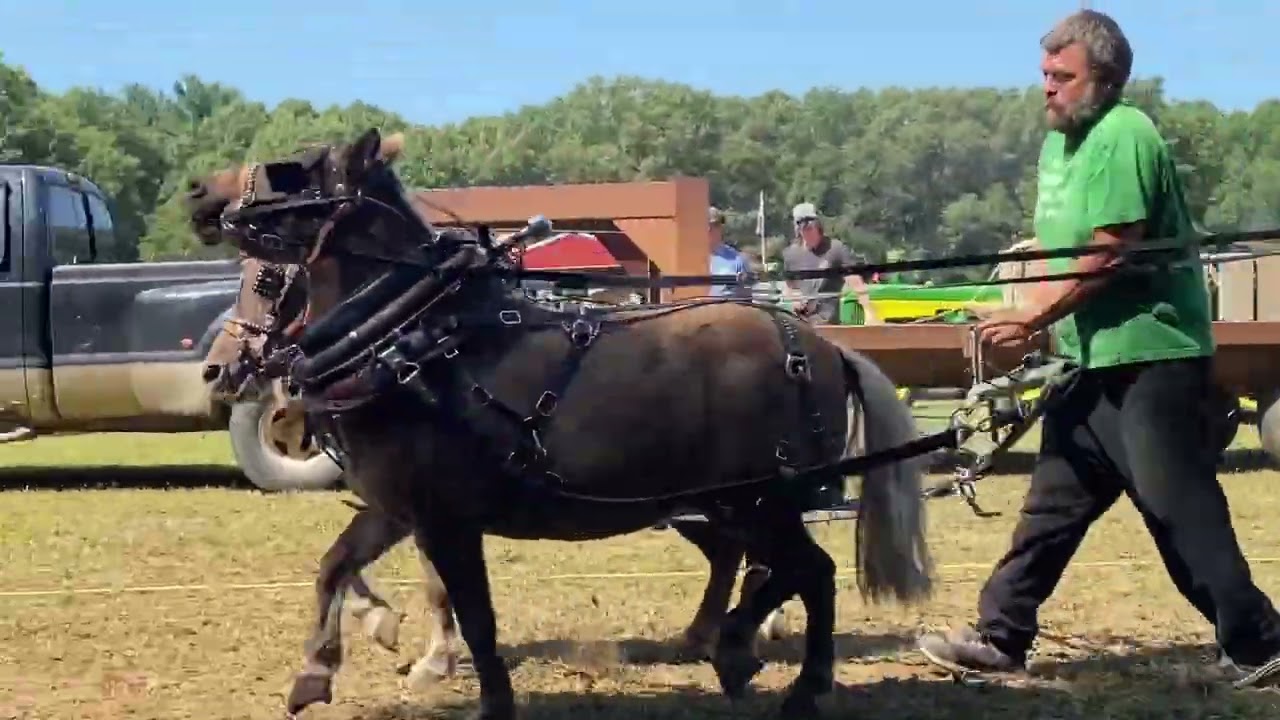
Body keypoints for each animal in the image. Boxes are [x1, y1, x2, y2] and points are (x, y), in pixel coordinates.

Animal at [202, 254, 795, 688]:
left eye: (266, 280)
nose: (217, 369)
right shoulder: (403, 509)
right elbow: (354, 563)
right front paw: (390, 632)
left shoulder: (430, 509)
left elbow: (425, 580)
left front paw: (426, 656)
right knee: (730, 554)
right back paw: (711, 634)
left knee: (746, 555)